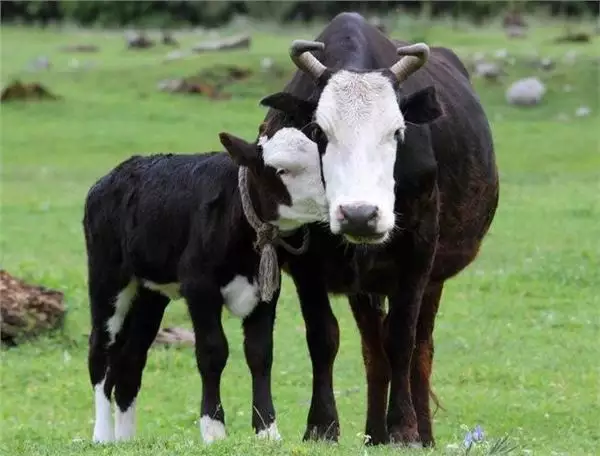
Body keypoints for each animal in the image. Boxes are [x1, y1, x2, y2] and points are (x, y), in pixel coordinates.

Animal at [82, 128, 326, 446]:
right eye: (281, 170)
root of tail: (112, 176)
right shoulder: (199, 286)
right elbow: (212, 352)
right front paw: (214, 430)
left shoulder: (266, 291)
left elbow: (260, 354)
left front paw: (267, 430)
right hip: (107, 279)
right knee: (100, 351)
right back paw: (102, 435)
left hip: (150, 294)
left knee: (130, 359)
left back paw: (126, 440)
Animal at [251, 11, 500, 448]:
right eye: (318, 132)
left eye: (397, 132)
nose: (360, 215)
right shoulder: (306, 263)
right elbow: (324, 337)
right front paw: (322, 426)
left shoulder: (418, 255)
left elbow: (402, 339)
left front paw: (404, 428)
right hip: (364, 286)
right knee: (373, 351)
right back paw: (373, 433)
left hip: (432, 279)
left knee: (420, 348)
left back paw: (422, 433)